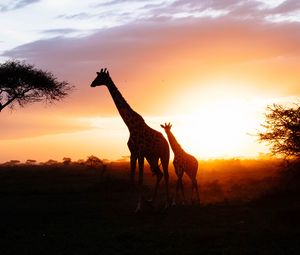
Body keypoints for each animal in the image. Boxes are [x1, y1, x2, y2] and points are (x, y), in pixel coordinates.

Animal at [89, 67, 170, 211]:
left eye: (100, 77)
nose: (92, 84)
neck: (130, 126)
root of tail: (166, 142)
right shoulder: (133, 153)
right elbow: (132, 178)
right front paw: (143, 203)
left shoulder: (140, 152)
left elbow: (140, 179)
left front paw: (138, 207)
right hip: (152, 157)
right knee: (159, 174)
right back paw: (152, 201)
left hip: (164, 155)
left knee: (166, 175)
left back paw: (168, 204)